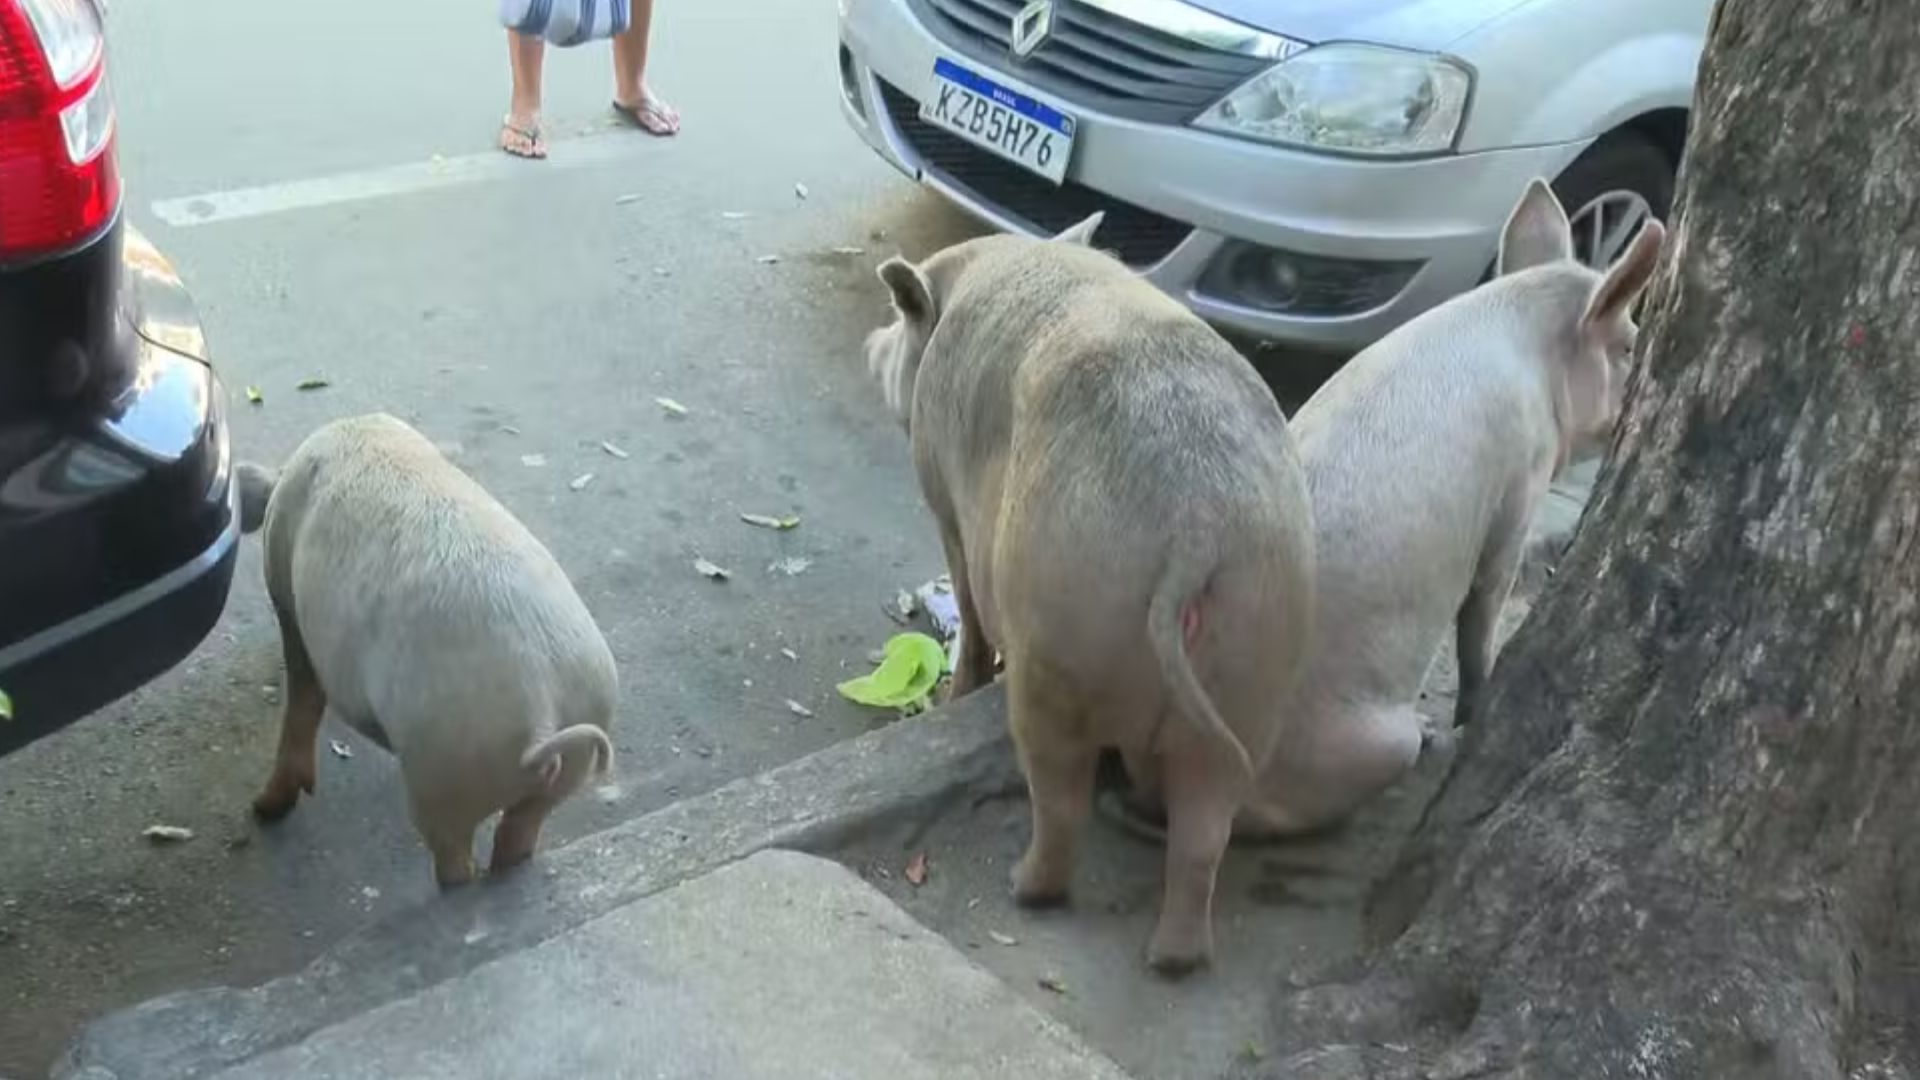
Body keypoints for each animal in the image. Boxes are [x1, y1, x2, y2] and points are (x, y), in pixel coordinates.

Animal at [236, 411, 614, 883]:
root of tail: (542, 707)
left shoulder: (285, 592)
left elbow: (303, 695)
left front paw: (263, 810)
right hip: (567, 761)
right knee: (519, 835)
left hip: (444, 773)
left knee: (456, 861)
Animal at [864, 214, 1313, 972]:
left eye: (899, 318)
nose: (870, 344)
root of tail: (1196, 526)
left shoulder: (944, 497)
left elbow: (968, 605)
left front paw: (955, 696)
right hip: (1259, 656)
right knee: (1204, 831)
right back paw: (1175, 959)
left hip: (1064, 638)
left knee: (1059, 796)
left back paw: (1024, 887)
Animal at [1228, 178, 1666, 834]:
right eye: (1630, 344)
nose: (1636, 400)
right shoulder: (1522, 478)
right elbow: (1484, 603)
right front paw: (1470, 716)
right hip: (1369, 741)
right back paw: (1435, 737)